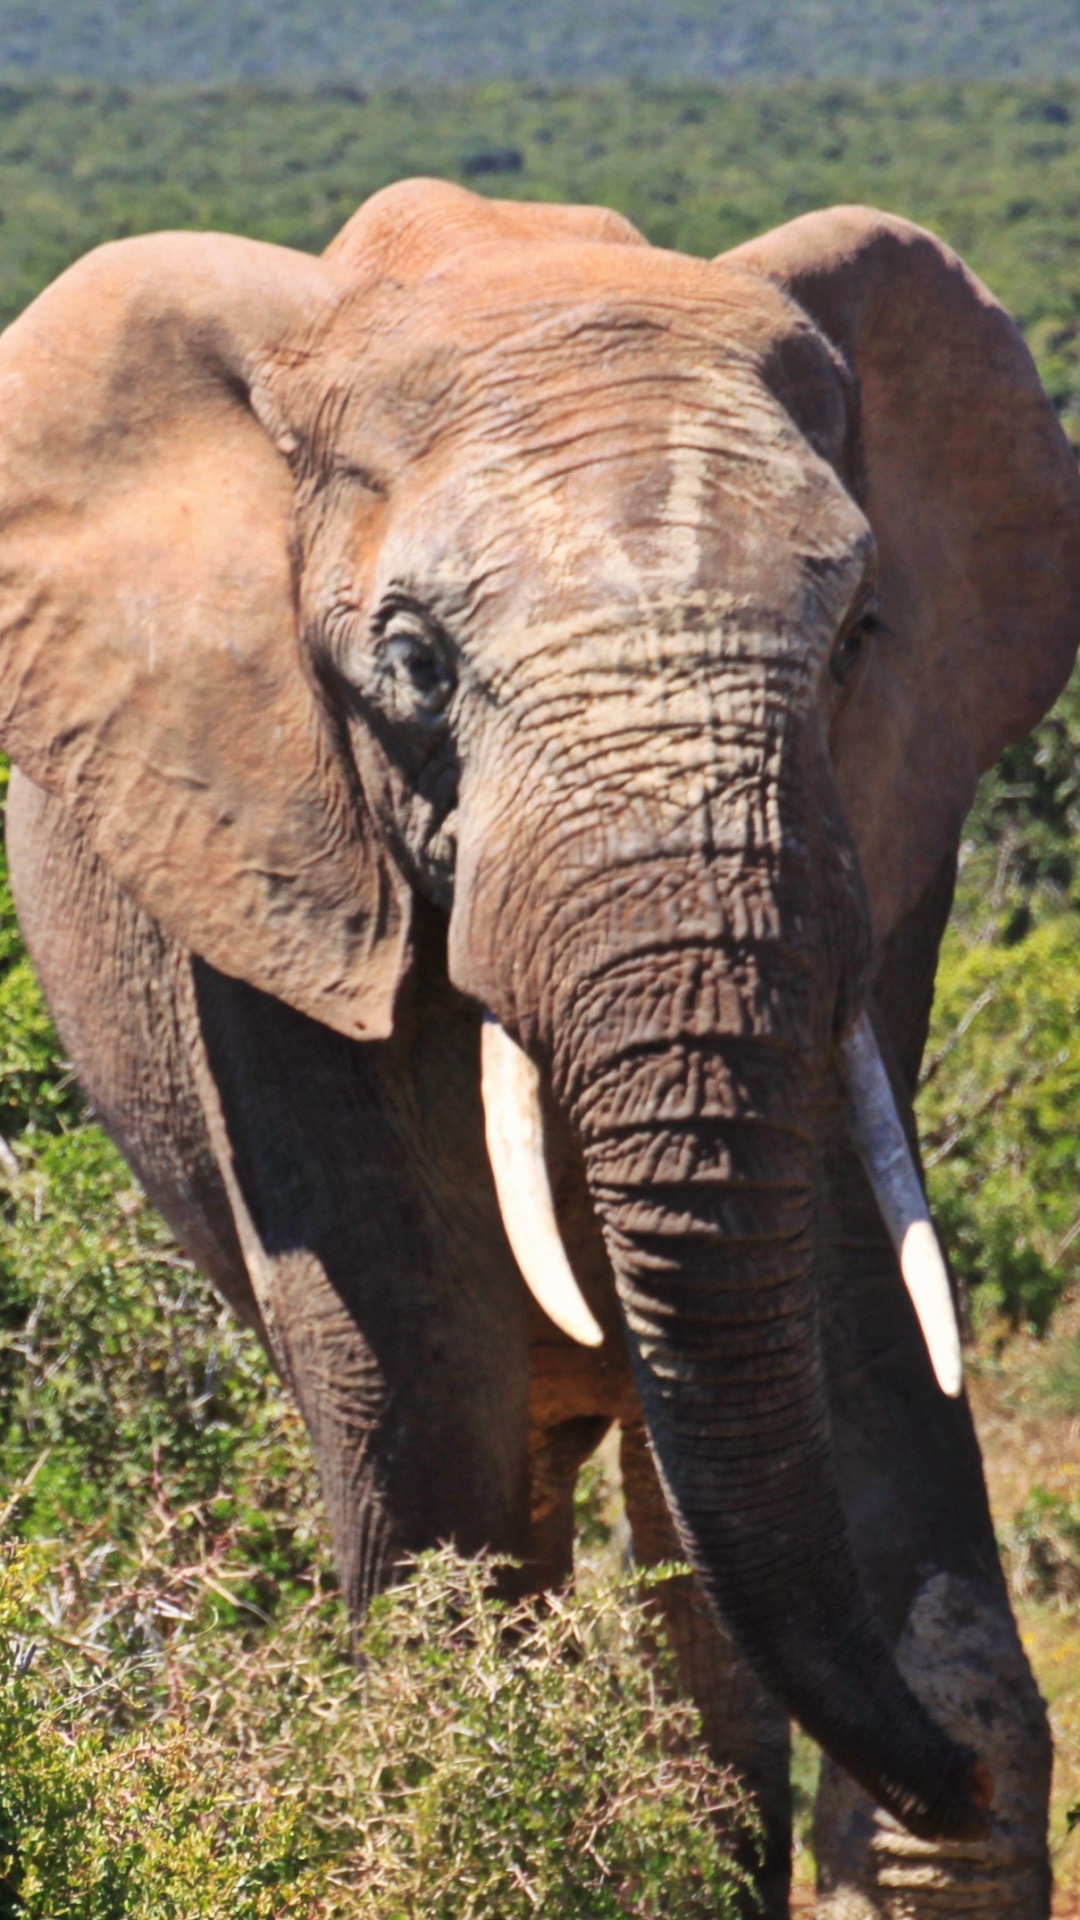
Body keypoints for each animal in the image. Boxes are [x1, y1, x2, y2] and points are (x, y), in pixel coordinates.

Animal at [2, 176, 1076, 1904]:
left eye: (858, 634)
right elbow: (425, 1399)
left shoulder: (886, 844)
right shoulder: (264, 875)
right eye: (414, 665)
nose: (957, 1789)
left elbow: (855, 1324)